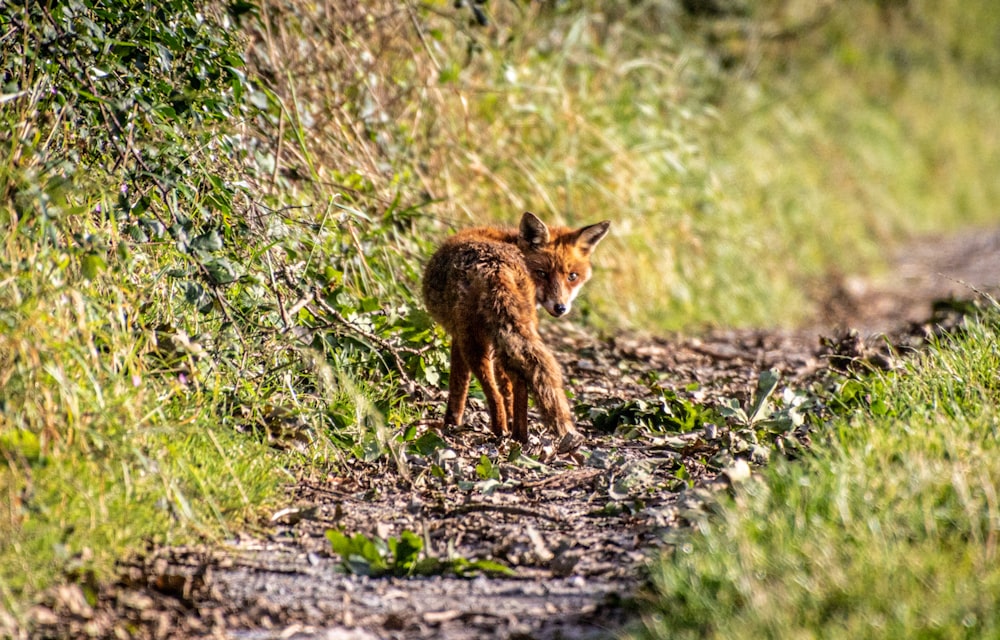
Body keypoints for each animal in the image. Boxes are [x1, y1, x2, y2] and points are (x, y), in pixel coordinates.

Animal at [422, 212, 608, 452]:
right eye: (542, 273)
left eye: (572, 276)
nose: (560, 308)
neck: (509, 241)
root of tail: (496, 266)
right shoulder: (499, 337)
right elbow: (507, 387)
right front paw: (511, 420)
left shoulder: (458, 336)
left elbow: (458, 385)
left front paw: (451, 423)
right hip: (514, 331)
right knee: (519, 380)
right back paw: (519, 434)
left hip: (473, 340)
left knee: (492, 390)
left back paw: (499, 429)